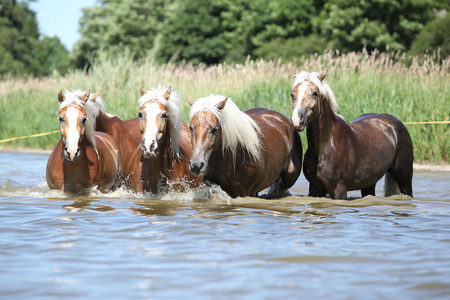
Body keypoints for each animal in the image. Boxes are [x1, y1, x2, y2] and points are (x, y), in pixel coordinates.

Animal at [290, 70, 414, 199]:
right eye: (292, 94)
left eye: (315, 93)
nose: (296, 120)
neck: (327, 145)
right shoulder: (315, 189)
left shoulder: (339, 189)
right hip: (369, 182)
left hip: (404, 178)